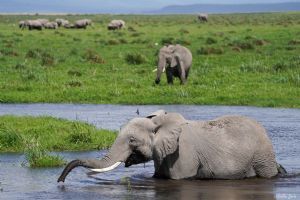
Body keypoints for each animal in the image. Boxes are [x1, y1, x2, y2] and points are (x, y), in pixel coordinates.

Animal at [56, 110, 286, 182]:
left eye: (132, 140)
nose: (60, 181)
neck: (159, 122)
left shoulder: (183, 153)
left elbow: (178, 179)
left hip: (262, 155)